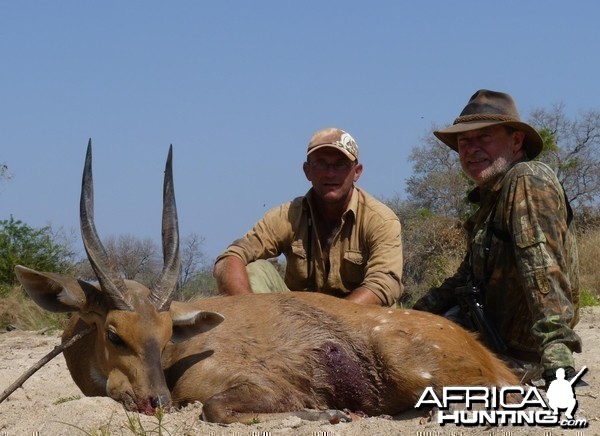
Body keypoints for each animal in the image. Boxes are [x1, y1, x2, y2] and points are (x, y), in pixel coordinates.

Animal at [16, 141, 516, 424]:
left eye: (167, 331)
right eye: (114, 333)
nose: (157, 401)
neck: (180, 355)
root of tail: (486, 353)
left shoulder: (253, 387)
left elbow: (215, 408)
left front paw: (329, 412)